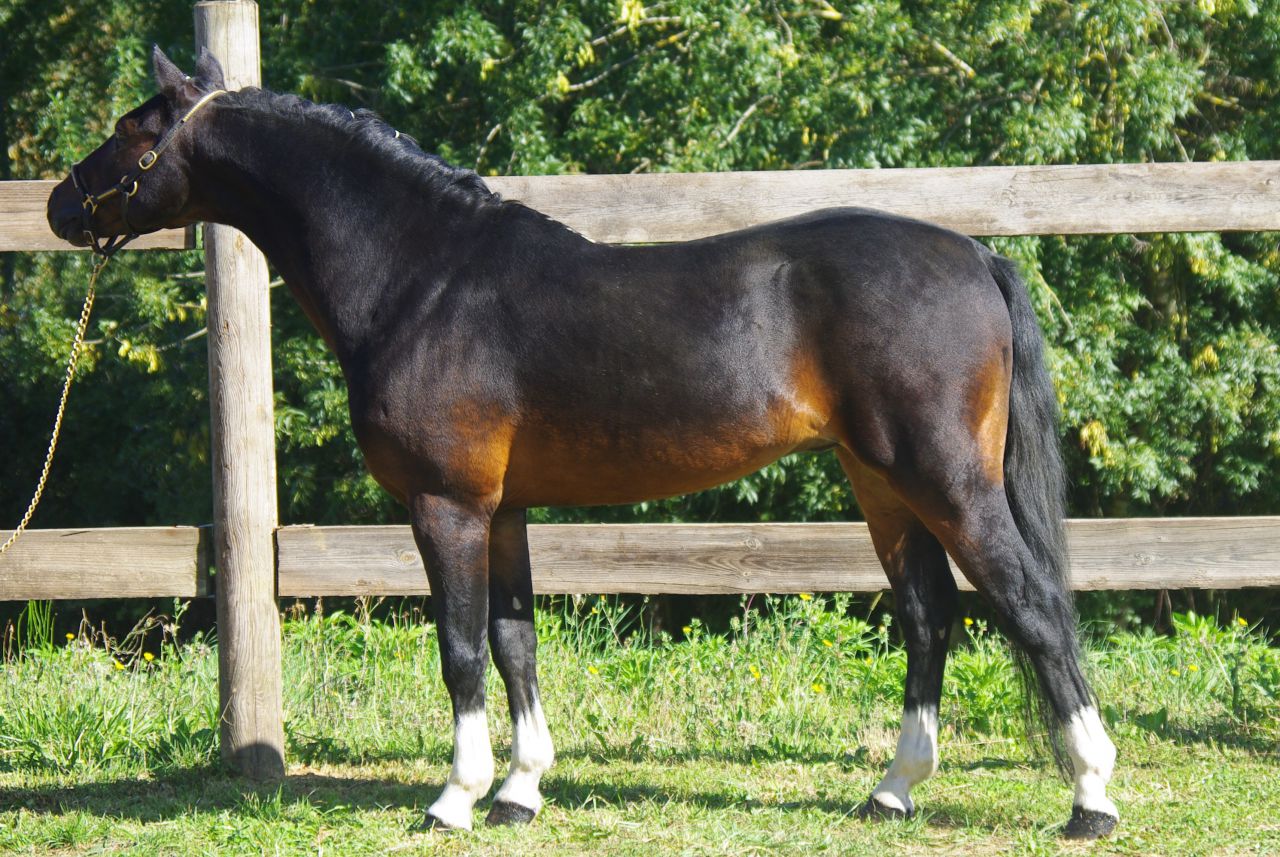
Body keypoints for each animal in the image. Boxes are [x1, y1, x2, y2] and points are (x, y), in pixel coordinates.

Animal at [47, 47, 1118, 838]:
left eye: (134, 129)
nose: (60, 204)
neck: (423, 275)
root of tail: (974, 254)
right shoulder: (503, 509)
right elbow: (516, 640)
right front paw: (519, 791)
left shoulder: (445, 505)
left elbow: (461, 648)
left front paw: (453, 799)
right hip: (881, 482)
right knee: (930, 614)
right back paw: (893, 789)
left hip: (945, 478)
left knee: (1032, 605)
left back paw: (1091, 797)